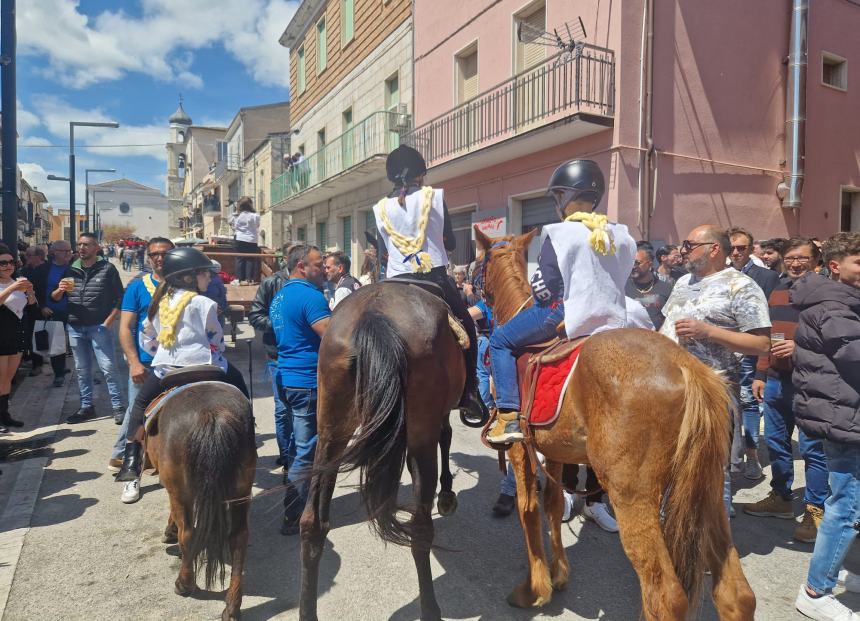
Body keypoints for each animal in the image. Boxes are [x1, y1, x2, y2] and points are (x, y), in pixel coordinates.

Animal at [144, 380, 256, 616]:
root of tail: (212, 413)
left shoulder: (174, 491)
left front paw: (169, 531)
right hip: (241, 491)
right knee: (239, 537)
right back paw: (232, 606)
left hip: (180, 491)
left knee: (188, 533)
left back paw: (184, 584)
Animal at [298, 282, 466, 620]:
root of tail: (374, 314)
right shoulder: (436, 420)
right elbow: (447, 436)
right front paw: (446, 495)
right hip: (420, 435)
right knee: (420, 529)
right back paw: (430, 609)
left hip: (331, 436)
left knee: (312, 524)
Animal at [474, 229, 756, 620]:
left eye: (477, 265)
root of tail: (687, 367)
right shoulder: (555, 452)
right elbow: (553, 506)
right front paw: (559, 575)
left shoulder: (519, 451)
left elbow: (527, 509)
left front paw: (533, 590)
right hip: (708, 489)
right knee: (736, 593)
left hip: (633, 495)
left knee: (665, 595)